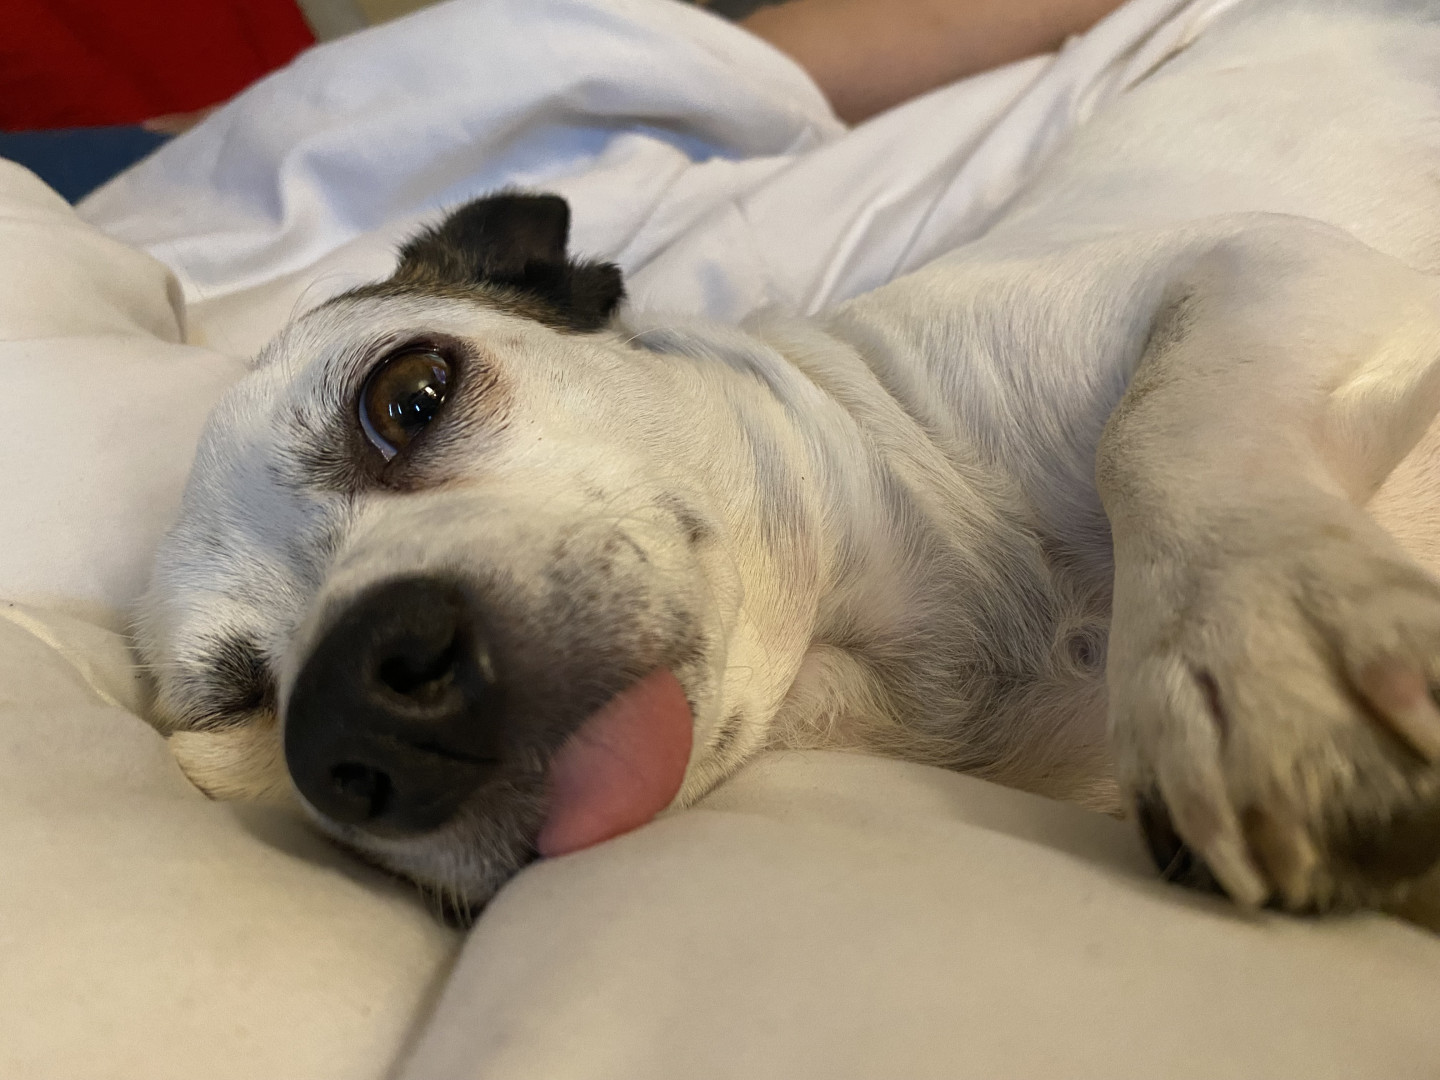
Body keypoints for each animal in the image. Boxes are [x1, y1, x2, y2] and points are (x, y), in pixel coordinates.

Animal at [137, 0, 1440, 917]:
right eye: (236, 709)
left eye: (408, 396)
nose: (355, 708)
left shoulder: (1269, 263)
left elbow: (1155, 422)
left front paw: (1260, 634)